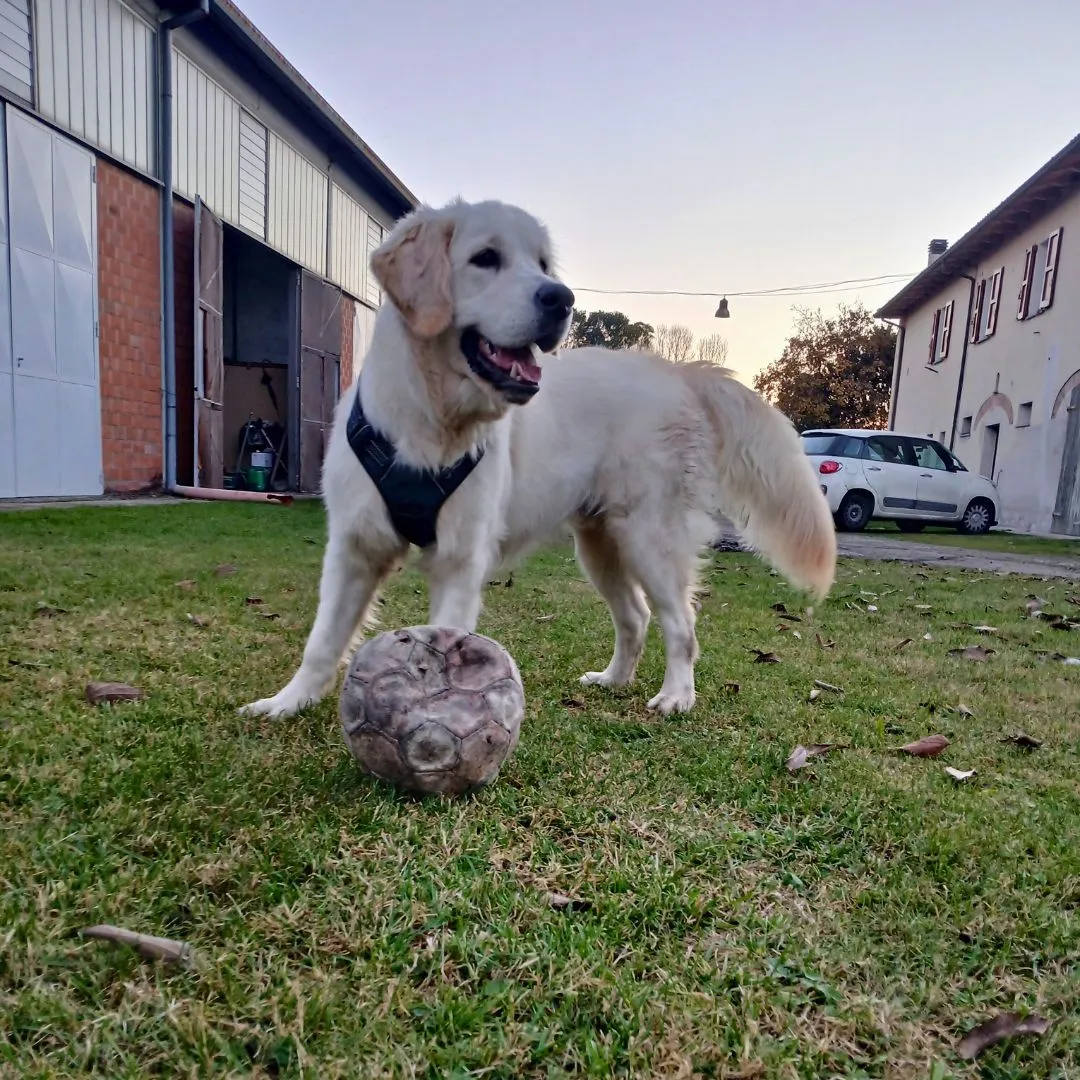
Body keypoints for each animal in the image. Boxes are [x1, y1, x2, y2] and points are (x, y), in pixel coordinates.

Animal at [240, 198, 838, 721]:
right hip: (599, 545)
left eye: (543, 264)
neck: (433, 420)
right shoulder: (353, 549)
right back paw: (613, 680)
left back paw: (676, 697)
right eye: (485, 257)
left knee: (680, 624)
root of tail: (677, 372)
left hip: (650, 538)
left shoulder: (460, 560)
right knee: (636, 617)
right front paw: (287, 702)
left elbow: (442, 649)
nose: (562, 298)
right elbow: (322, 641)